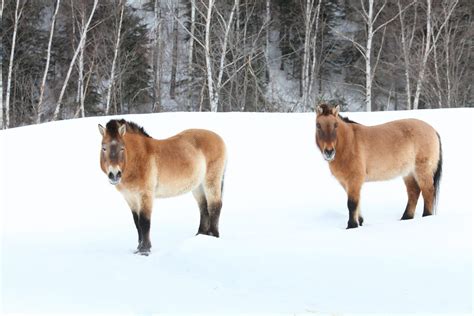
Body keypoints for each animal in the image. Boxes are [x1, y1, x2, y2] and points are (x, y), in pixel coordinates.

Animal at [97, 118, 227, 254]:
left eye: (122, 148)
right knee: (203, 207)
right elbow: (137, 222)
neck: (138, 158)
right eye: (104, 148)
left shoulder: (145, 195)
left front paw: (145, 250)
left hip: (211, 181)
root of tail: (218, 138)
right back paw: (201, 235)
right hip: (198, 186)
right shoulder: (130, 197)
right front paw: (138, 248)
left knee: (214, 206)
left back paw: (213, 235)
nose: (114, 174)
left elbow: (144, 222)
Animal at [314, 104, 444, 230]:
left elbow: (352, 204)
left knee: (428, 191)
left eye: (335, 125)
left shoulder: (354, 180)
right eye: (318, 125)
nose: (329, 152)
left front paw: (351, 225)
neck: (349, 143)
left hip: (422, 171)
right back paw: (406, 218)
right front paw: (360, 221)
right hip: (408, 173)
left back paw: (426, 217)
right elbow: (357, 202)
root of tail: (433, 130)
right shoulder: (345, 182)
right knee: (413, 192)